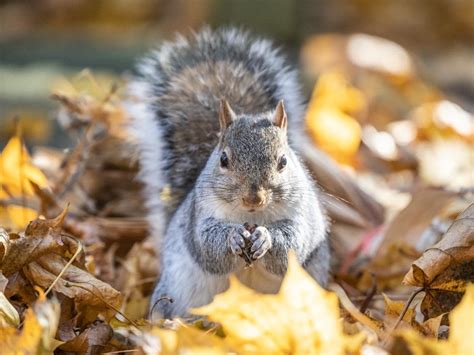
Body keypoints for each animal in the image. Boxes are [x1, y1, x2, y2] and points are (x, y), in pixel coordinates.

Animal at [124, 26, 328, 318]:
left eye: (283, 162)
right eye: (223, 159)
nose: (253, 198)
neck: (250, 217)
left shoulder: (303, 216)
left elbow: (293, 245)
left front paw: (265, 239)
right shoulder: (200, 216)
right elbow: (207, 245)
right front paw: (233, 237)